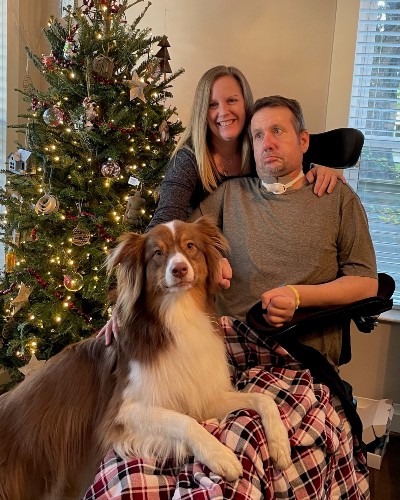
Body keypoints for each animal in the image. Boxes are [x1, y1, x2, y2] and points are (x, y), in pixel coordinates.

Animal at [0, 217, 290, 498]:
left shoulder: (203, 396)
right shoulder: (122, 413)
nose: (179, 269)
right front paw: (220, 454)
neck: (179, 314)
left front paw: (280, 445)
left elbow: (264, 399)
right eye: (158, 253)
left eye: (191, 246)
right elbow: (184, 421)